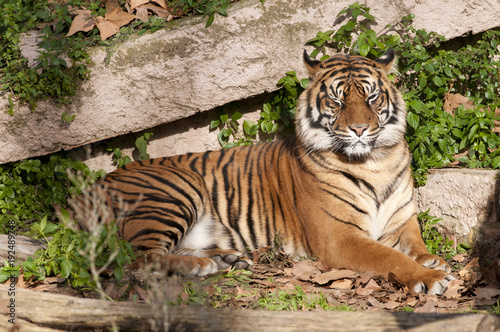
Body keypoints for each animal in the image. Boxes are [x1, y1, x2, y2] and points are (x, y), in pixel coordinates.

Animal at [68, 48, 456, 294]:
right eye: (337, 100)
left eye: (372, 97)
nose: (360, 129)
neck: (375, 161)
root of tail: (82, 194)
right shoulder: (339, 237)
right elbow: (390, 257)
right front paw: (429, 276)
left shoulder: (401, 218)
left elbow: (413, 242)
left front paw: (431, 258)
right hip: (172, 193)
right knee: (138, 259)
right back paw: (200, 267)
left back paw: (225, 258)